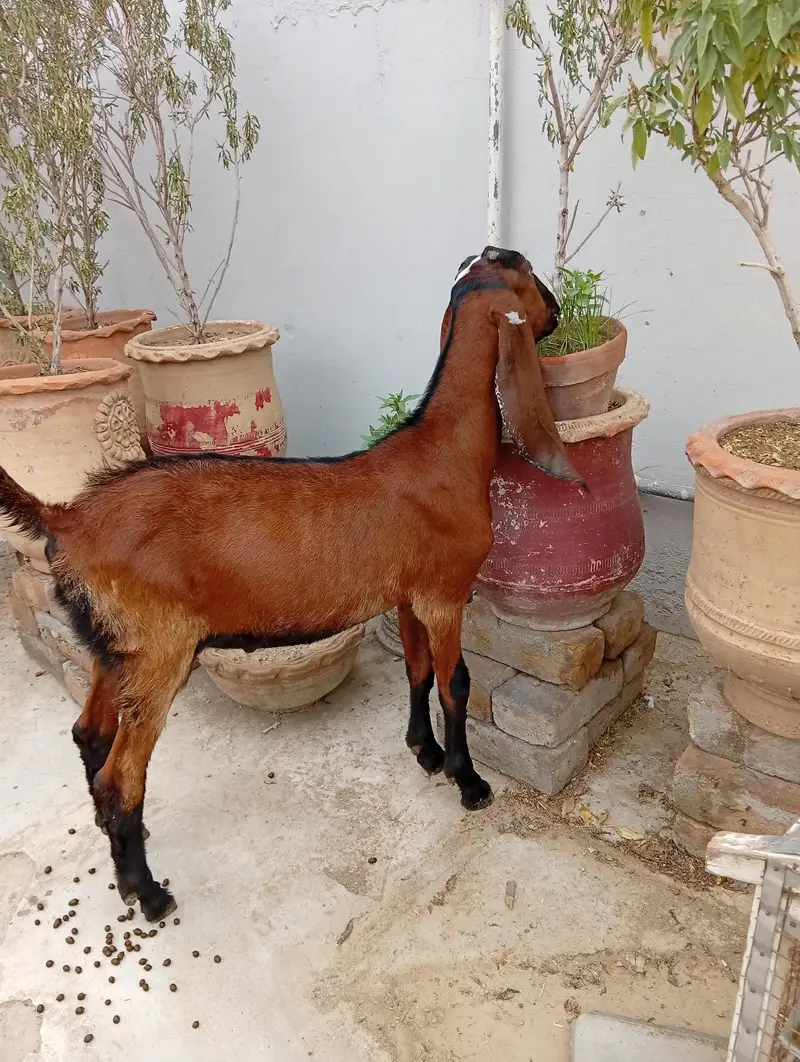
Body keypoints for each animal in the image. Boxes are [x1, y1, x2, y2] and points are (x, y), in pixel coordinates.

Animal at [0, 247, 584, 921]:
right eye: (530, 276)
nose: (559, 311)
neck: (442, 454)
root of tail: (69, 517)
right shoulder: (443, 594)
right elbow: (455, 684)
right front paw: (469, 782)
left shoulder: (407, 596)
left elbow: (416, 671)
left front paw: (425, 752)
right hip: (158, 650)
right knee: (121, 777)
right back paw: (147, 892)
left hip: (113, 646)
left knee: (89, 735)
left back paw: (123, 848)